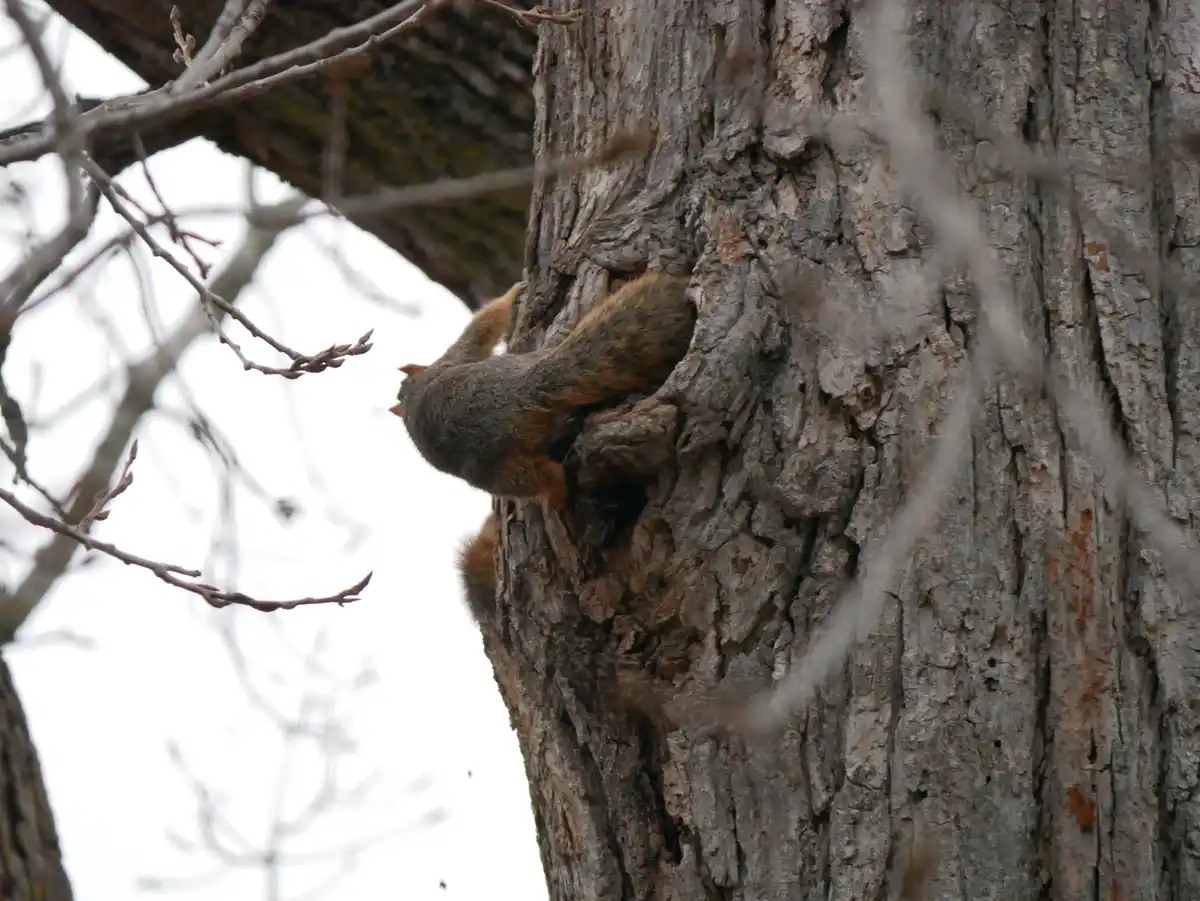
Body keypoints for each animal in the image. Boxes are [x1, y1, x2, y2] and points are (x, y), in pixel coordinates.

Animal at [390, 272, 696, 509]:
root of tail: (522, 392)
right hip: (499, 472)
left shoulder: (449, 360)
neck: (412, 391)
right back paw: (556, 496)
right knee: (547, 475)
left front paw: (514, 293)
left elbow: (480, 329)